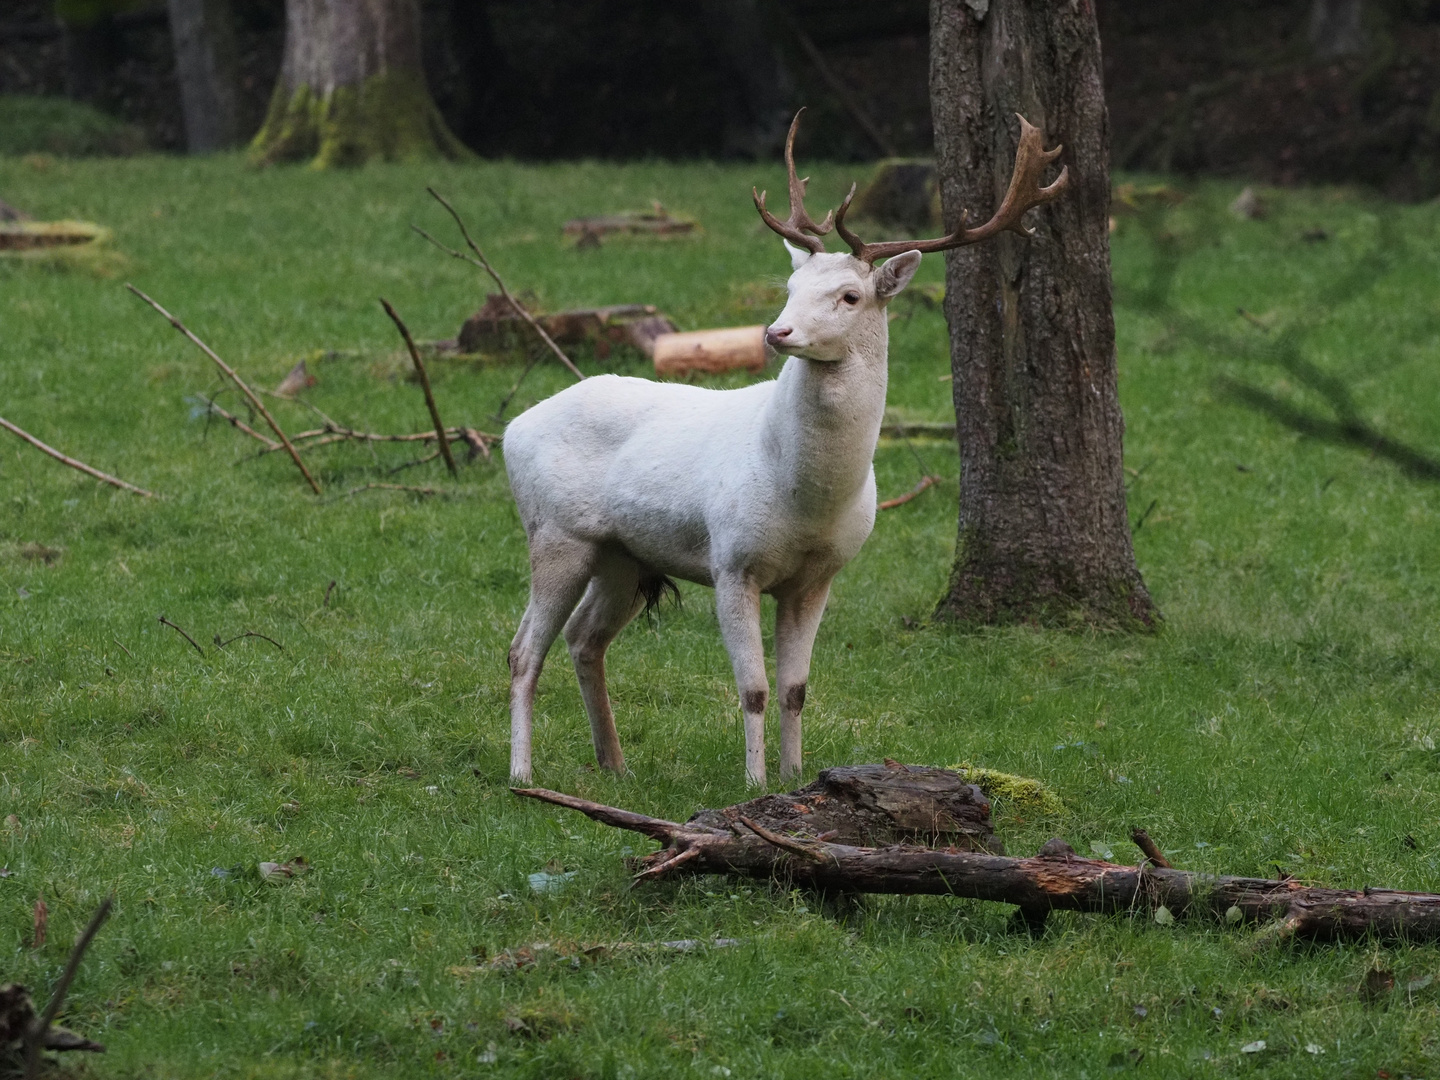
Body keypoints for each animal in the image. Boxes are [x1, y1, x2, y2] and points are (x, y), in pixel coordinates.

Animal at [501, 110, 1065, 789]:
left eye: (850, 296)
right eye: (792, 283)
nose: (776, 332)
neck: (805, 499)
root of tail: (511, 428)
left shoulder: (818, 577)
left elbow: (796, 688)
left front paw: (798, 775)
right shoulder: (731, 561)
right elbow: (754, 689)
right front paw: (755, 782)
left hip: (623, 554)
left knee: (585, 638)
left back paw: (615, 765)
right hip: (557, 533)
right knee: (523, 649)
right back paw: (522, 774)